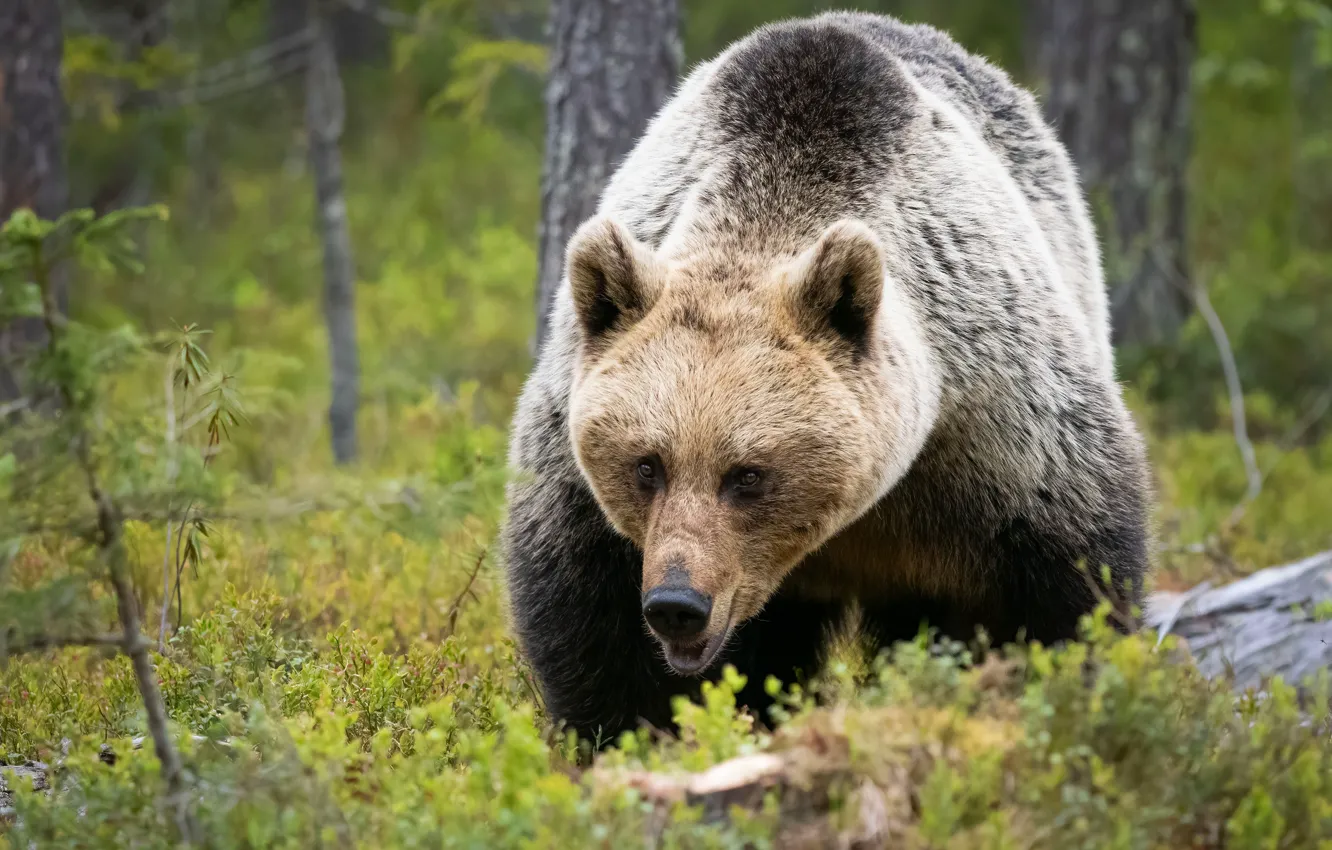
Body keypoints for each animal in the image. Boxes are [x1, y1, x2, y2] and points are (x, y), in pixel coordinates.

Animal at [503, 11, 1151, 745]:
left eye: (748, 474)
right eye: (647, 464)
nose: (678, 603)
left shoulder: (996, 431)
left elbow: (1060, 593)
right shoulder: (581, 478)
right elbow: (594, 628)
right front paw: (625, 735)